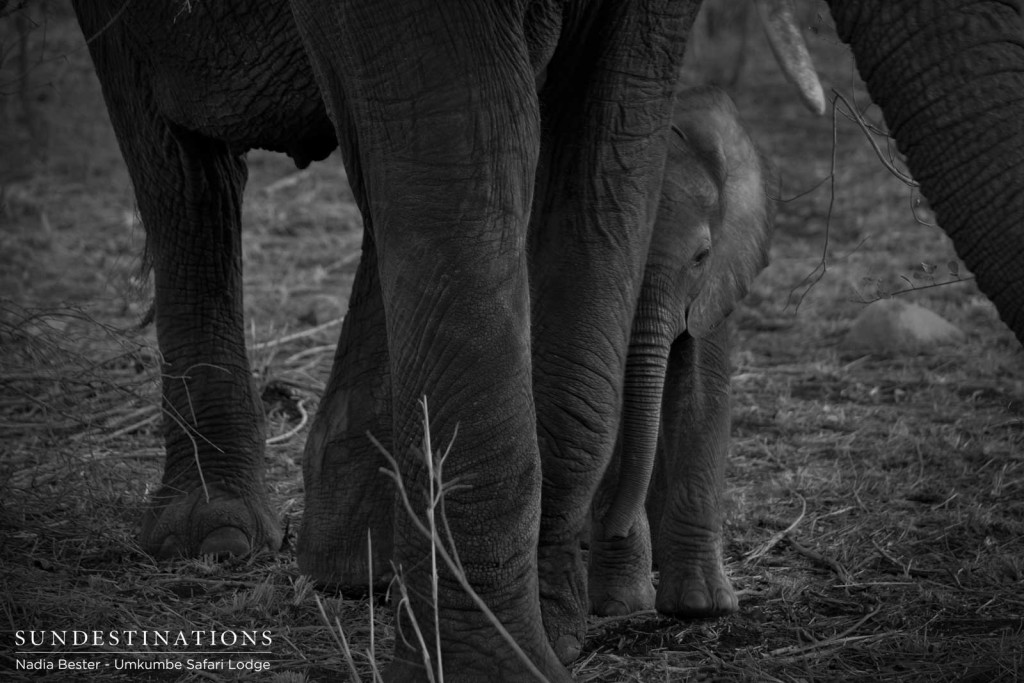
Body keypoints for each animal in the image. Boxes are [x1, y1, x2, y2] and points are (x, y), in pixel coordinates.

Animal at [585, 85, 770, 618]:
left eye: (701, 257)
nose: (607, 524)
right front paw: (623, 604)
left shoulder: (716, 283)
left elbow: (700, 392)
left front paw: (701, 606)